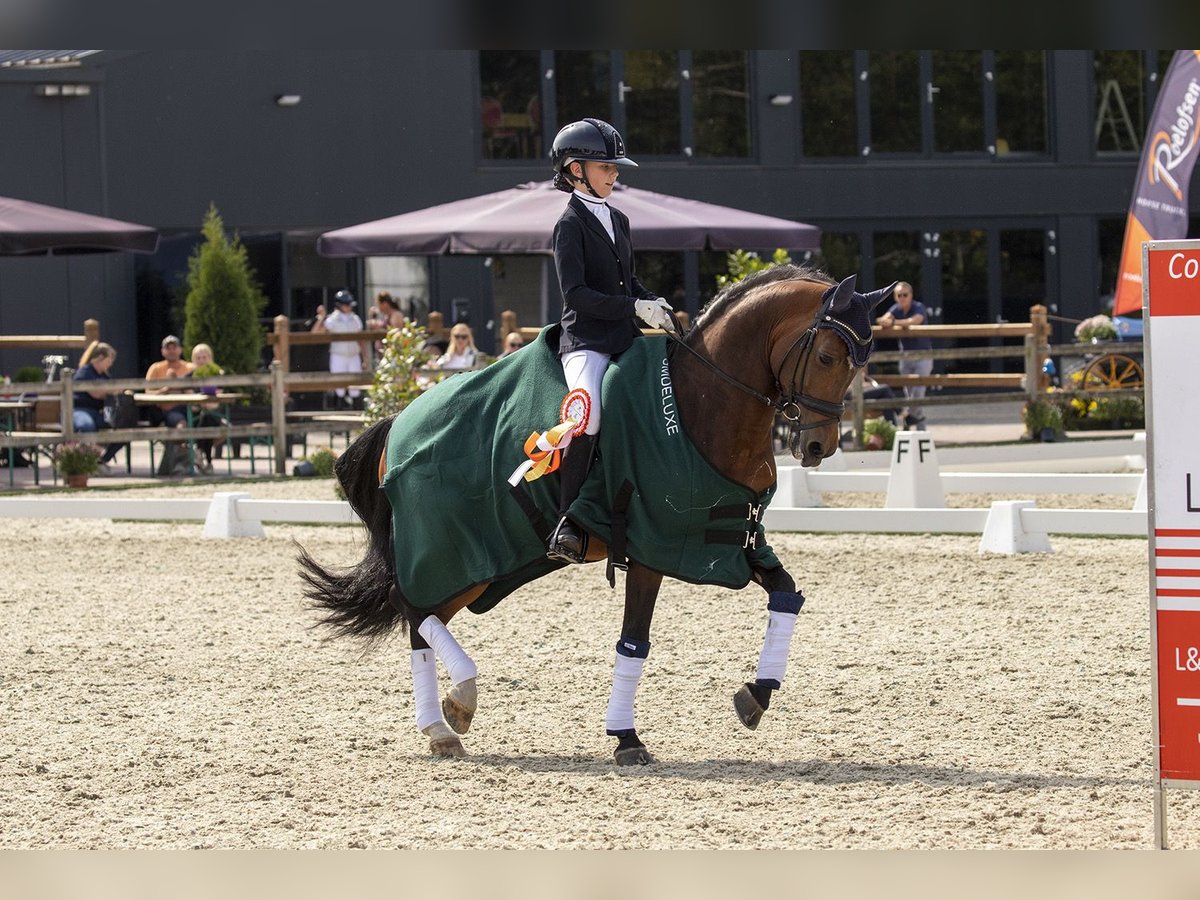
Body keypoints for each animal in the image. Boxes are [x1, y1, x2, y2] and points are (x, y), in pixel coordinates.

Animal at [298, 267, 892, 768]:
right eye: (826, 358)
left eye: (860, 363)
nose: (817, 447)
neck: (704, 402)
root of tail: (398, 422)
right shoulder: (652, 547)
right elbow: (634, 642)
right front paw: (626, 739)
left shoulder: (730, 538)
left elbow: (786, 596)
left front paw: (755, 696)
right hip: (452, 552)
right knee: (410, 605)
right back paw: (459, 700)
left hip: (476, 566)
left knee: (421, 622)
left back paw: (443, 727)